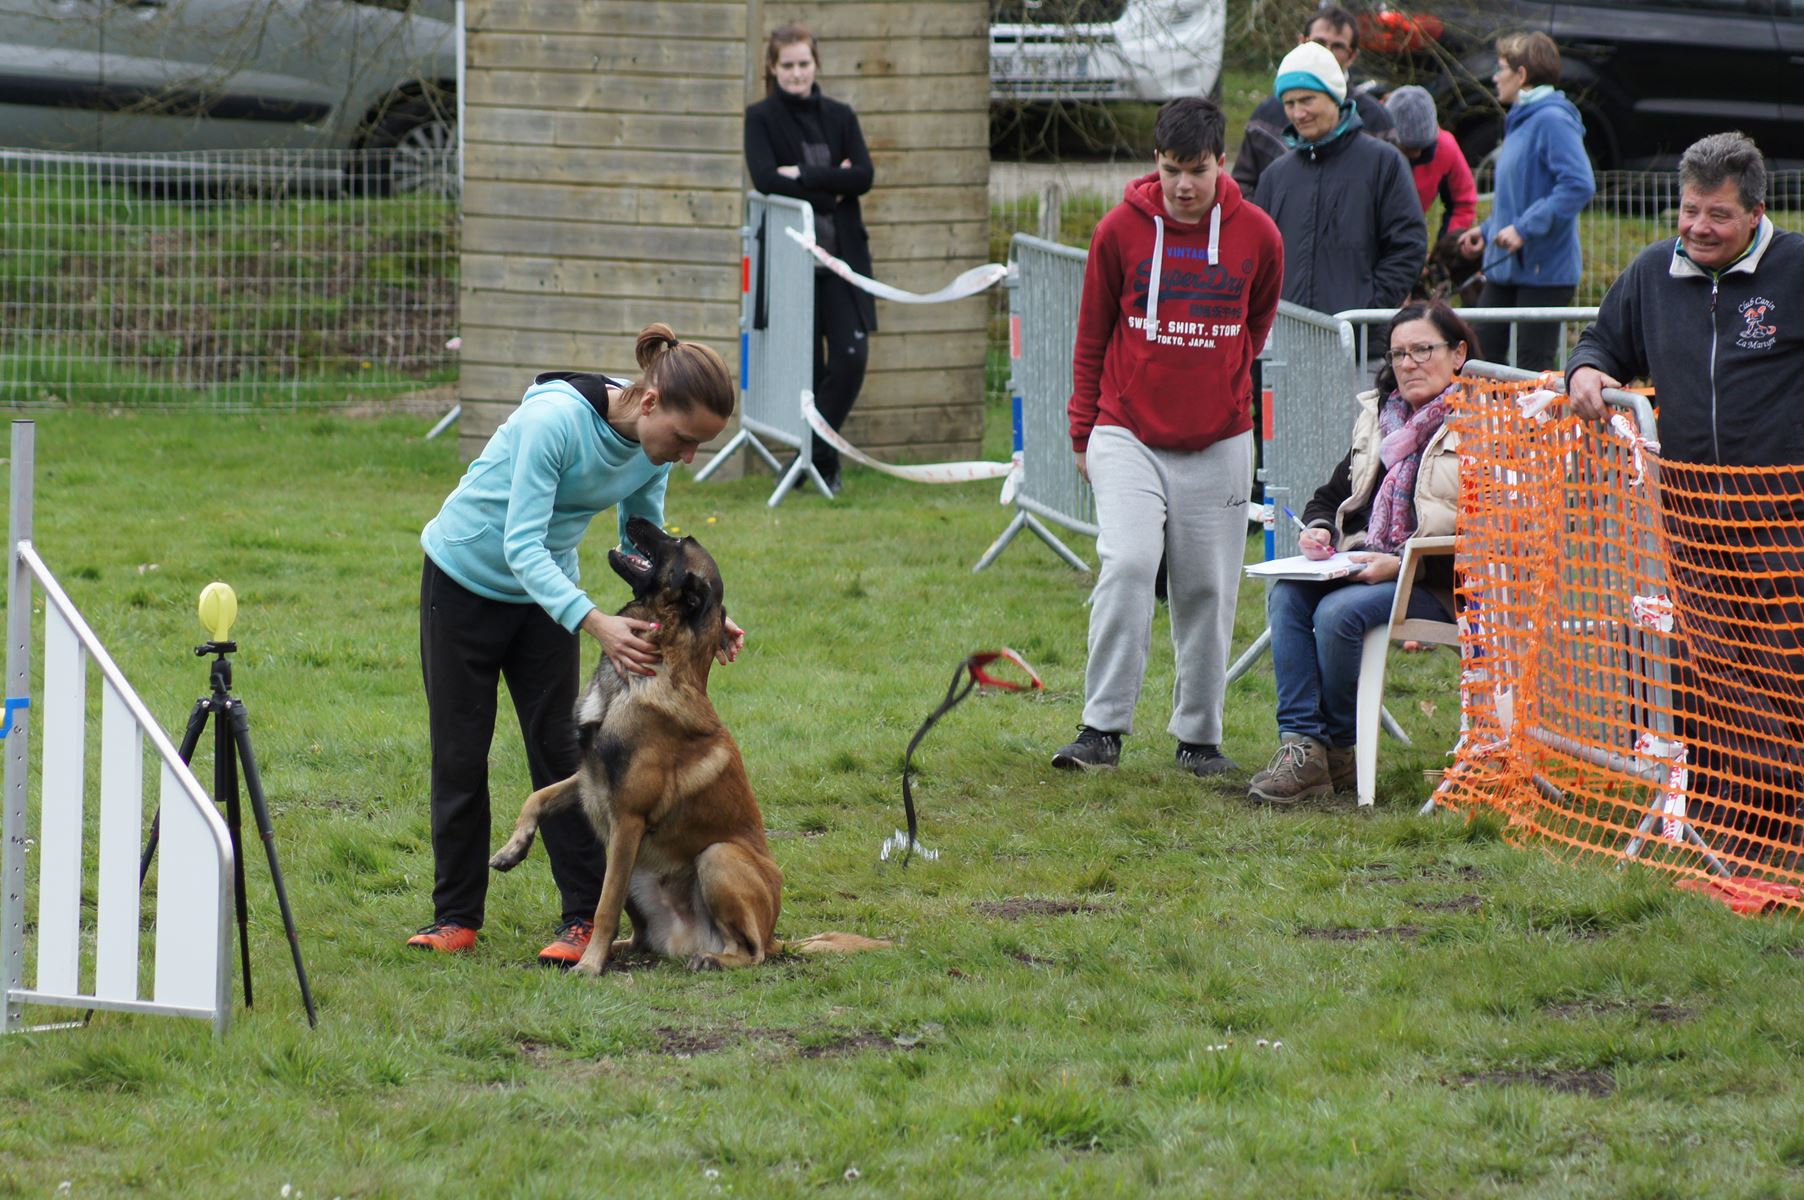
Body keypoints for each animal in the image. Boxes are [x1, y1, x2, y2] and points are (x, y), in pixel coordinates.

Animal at [483, 516, 883, 974]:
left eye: (678, 541)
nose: (634, 519)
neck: (642, 676)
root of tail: (778, 936)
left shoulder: (628, 817)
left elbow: (604, 905)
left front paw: (589, 966)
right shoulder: (589, 779)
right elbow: (538, 797)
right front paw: (511, 850)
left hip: (715, 857)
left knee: (753, 953)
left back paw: (709, 959)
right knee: (643, 936)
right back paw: (625, 949)